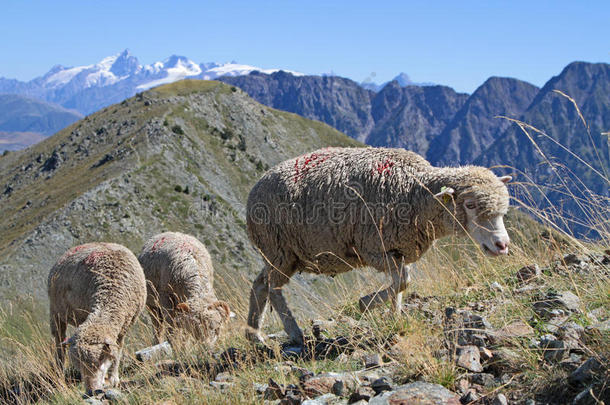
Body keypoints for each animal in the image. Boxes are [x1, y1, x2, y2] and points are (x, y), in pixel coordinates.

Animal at [48, 241, 145, 392]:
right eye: (78, 364)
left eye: (99, 360)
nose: (91, 391)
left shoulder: (123, 327)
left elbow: (117, 351)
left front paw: (113, 378)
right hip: (56, 312)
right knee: (59, 344)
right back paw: (58, 374)